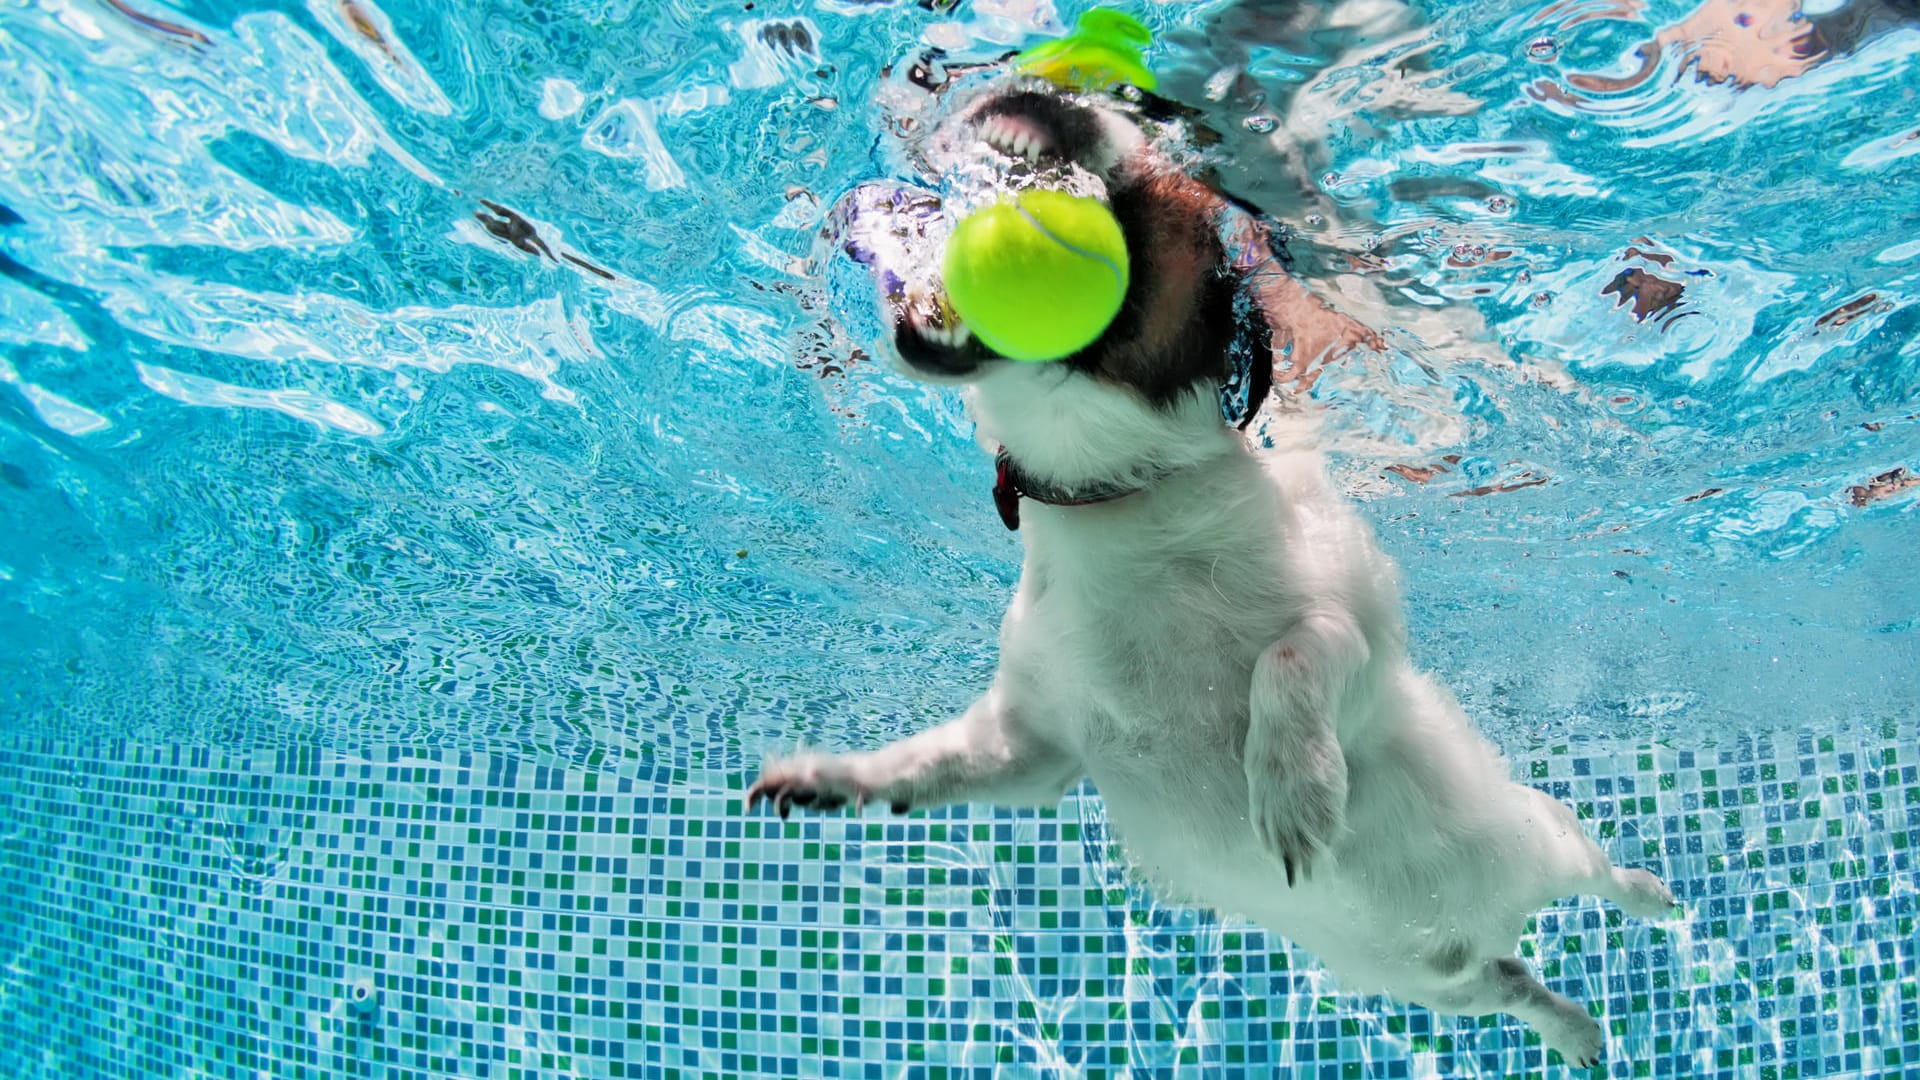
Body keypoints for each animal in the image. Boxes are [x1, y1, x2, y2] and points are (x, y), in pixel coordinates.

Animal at [748, 71, 1681, 1060]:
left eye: (1163, 197)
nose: (1042, 97)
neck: (1121, 502)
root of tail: (1481, 931)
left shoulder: (1351, 634)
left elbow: (1293, 653)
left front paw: (1295, 791)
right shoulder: (1033, 748)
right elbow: (929, 765)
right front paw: (830, 779)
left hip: (1544, 833)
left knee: (1595, 873)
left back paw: (1651, 898)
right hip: (1438, 987)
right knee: (1514, 986)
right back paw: (1574, 1029)